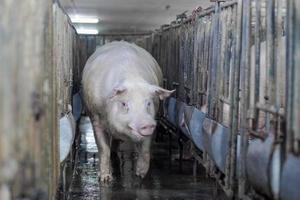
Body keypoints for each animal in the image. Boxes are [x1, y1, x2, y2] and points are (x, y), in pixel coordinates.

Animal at [82, 41, 175, 182]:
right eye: (124, 104)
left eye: (148, 103)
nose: (146, 124)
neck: (131, 78)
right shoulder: (95, 118)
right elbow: (103, 149)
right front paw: (105, 178)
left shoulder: (153, 118)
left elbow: (145, 149)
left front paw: (140, 174)